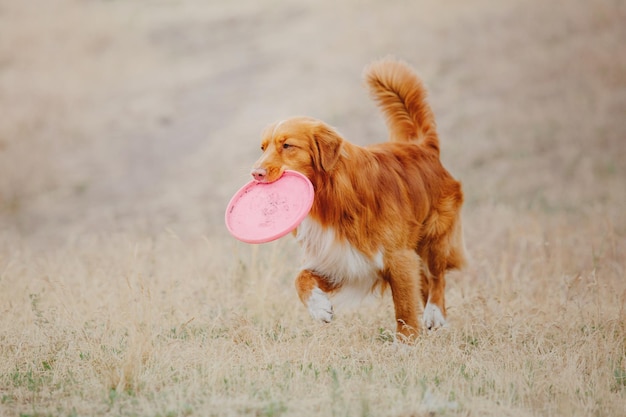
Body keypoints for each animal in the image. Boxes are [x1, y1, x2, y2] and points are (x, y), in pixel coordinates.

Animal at [249, 57, 464, 340]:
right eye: (263, 148)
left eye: (287, 146)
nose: (255, 173)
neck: (331, 199)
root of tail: (422, 146)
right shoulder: (340, 259)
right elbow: (300, 278)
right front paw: (319, 307)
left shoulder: (397, 256)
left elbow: (404, 307)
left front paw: (406, 342)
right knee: (426, 281)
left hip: (435, 237)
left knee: (437, 276)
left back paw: (435, 313)